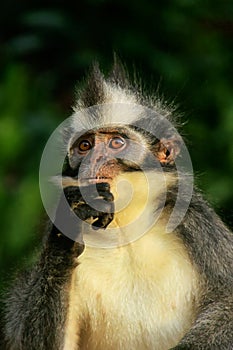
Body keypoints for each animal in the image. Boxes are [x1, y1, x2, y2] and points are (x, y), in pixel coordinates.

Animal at [2, 60, 233, 350]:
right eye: (85, 146)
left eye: (116, 143)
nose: (92, 163)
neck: (125, 227)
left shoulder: (195, 220)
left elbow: (228, 301)